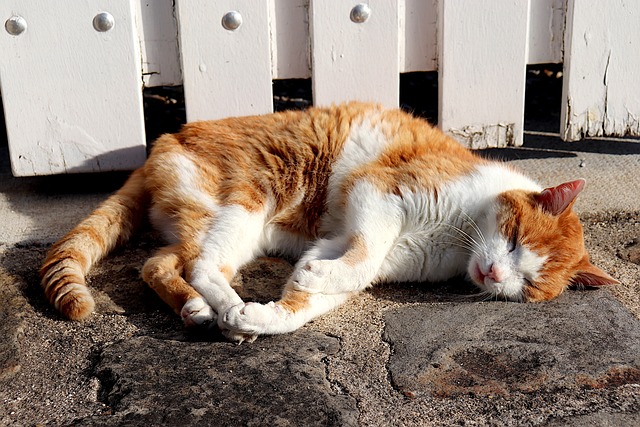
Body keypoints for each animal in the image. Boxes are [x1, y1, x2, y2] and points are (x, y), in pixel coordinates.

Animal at [37, 102, 616, 342]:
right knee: (202, 267)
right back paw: (220, 304)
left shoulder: (340, 243)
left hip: (209, 226)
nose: (496, 275)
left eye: (530, 286)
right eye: (515, 241)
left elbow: (312, 295)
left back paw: (204, 311)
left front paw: (267, 316)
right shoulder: (381, 193)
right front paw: (263, 307)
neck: (457, 237)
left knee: (159, 266)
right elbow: (360, 258)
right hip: (244, 203)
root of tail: (163, 140)